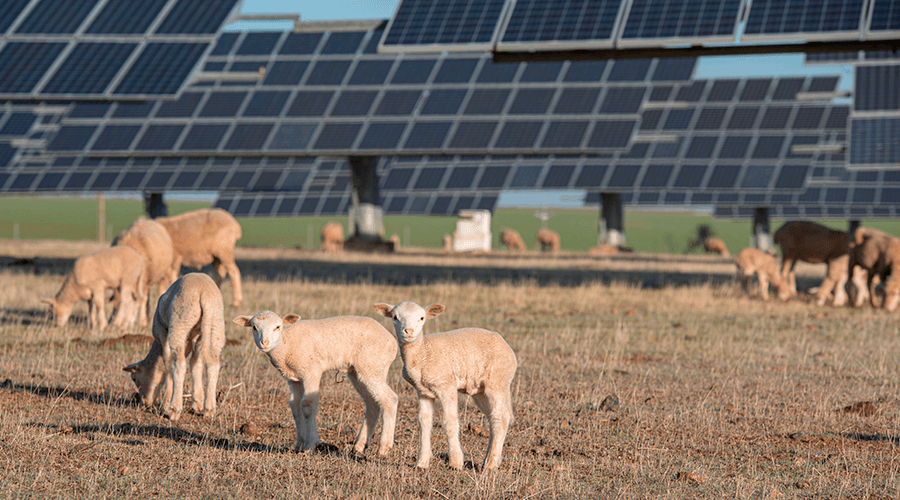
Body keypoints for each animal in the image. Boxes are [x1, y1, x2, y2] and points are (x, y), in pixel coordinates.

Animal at [123, 274, 225, 422]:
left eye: (134, 378)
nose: (145, 403)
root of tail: (205, 294)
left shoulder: (162, 332)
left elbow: (168, 364)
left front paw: (165, 405)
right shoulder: (195, 336)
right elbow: (195, 363)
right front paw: (197, 403)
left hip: (180, 322)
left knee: (179, 365)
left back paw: (174, 410)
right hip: (215, 326)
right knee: (213, 364)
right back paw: (209, 410)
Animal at [232, 310, 398, 456]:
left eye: (277, 327)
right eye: (254, 327)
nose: (264, 343)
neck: (286, 343)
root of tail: (392, 341)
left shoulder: (311, 371)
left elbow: (307, 405)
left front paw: (310, 445)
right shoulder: (293, 378)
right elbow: (295, 406)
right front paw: (299, 445)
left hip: (371, 365)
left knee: (390, 399)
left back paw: (383, 448)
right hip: (361, 371)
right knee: (373, 403)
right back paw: (359, 446)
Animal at [372, 302, 516, 470]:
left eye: (422, 318)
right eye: (395, 317)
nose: (408, 331)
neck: (422, 353)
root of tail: (507, 347)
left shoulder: (446, 386)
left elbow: (450, 422)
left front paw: (455, 462)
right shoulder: (423, 391)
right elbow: (424, 422)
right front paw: (421, 463)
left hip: (497, 381)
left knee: (501, 417)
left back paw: (490, 464)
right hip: (480, 391)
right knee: (493, 417)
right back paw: (490, 459)